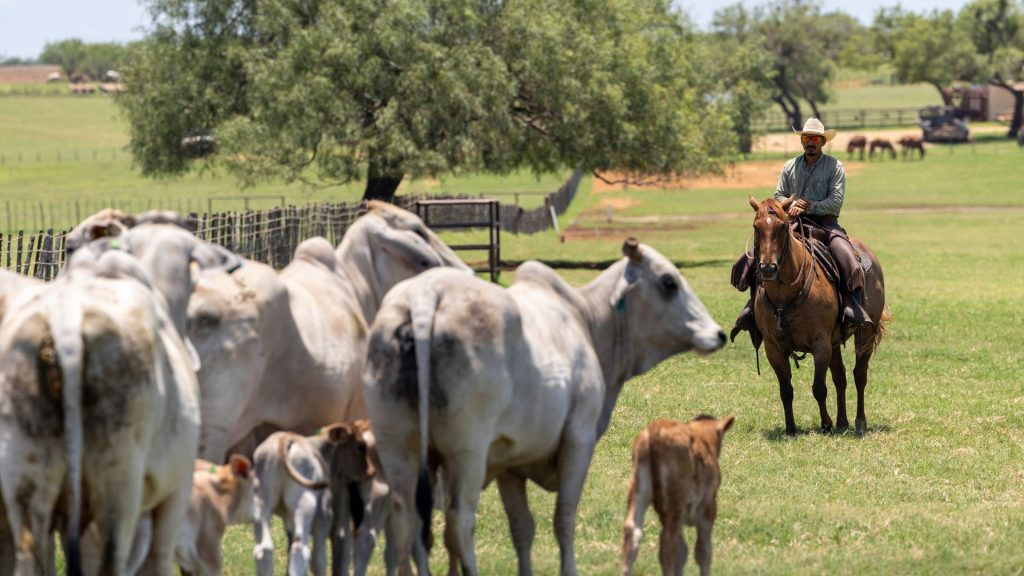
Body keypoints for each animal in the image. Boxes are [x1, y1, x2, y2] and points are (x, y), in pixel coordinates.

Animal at [252, 422, 374, 576]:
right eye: (361, 446)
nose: (371, 472)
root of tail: (284, 439)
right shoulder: (323, 516)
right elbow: (319, 559)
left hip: (262, 505)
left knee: (265, 549)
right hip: (305, 505)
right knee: (300, 550)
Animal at [621, 415, 735, 576]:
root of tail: (656, 430)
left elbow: (683, 552)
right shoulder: (708, 507)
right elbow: (703, 550)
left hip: (639, 488)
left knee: (632, 533)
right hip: (674, 501)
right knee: (668, 543)